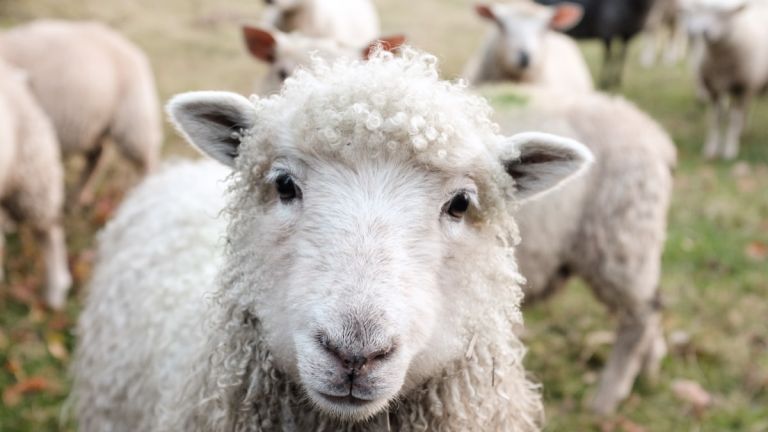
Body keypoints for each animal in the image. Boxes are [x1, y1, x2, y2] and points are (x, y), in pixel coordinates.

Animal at [0, 20, 162, 204]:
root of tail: (131, 48)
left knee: (147, 160)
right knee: (96, 156)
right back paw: (79, 196)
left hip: (134, 119)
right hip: (96, 125)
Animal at [680, 0, 768, 160]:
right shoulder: (713, 89)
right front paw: (711, 149)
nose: (704, 32)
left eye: (724, 14)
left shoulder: (741, 88)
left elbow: (734, 119)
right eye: (704, 11)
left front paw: (730, 150)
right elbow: (716, 119)